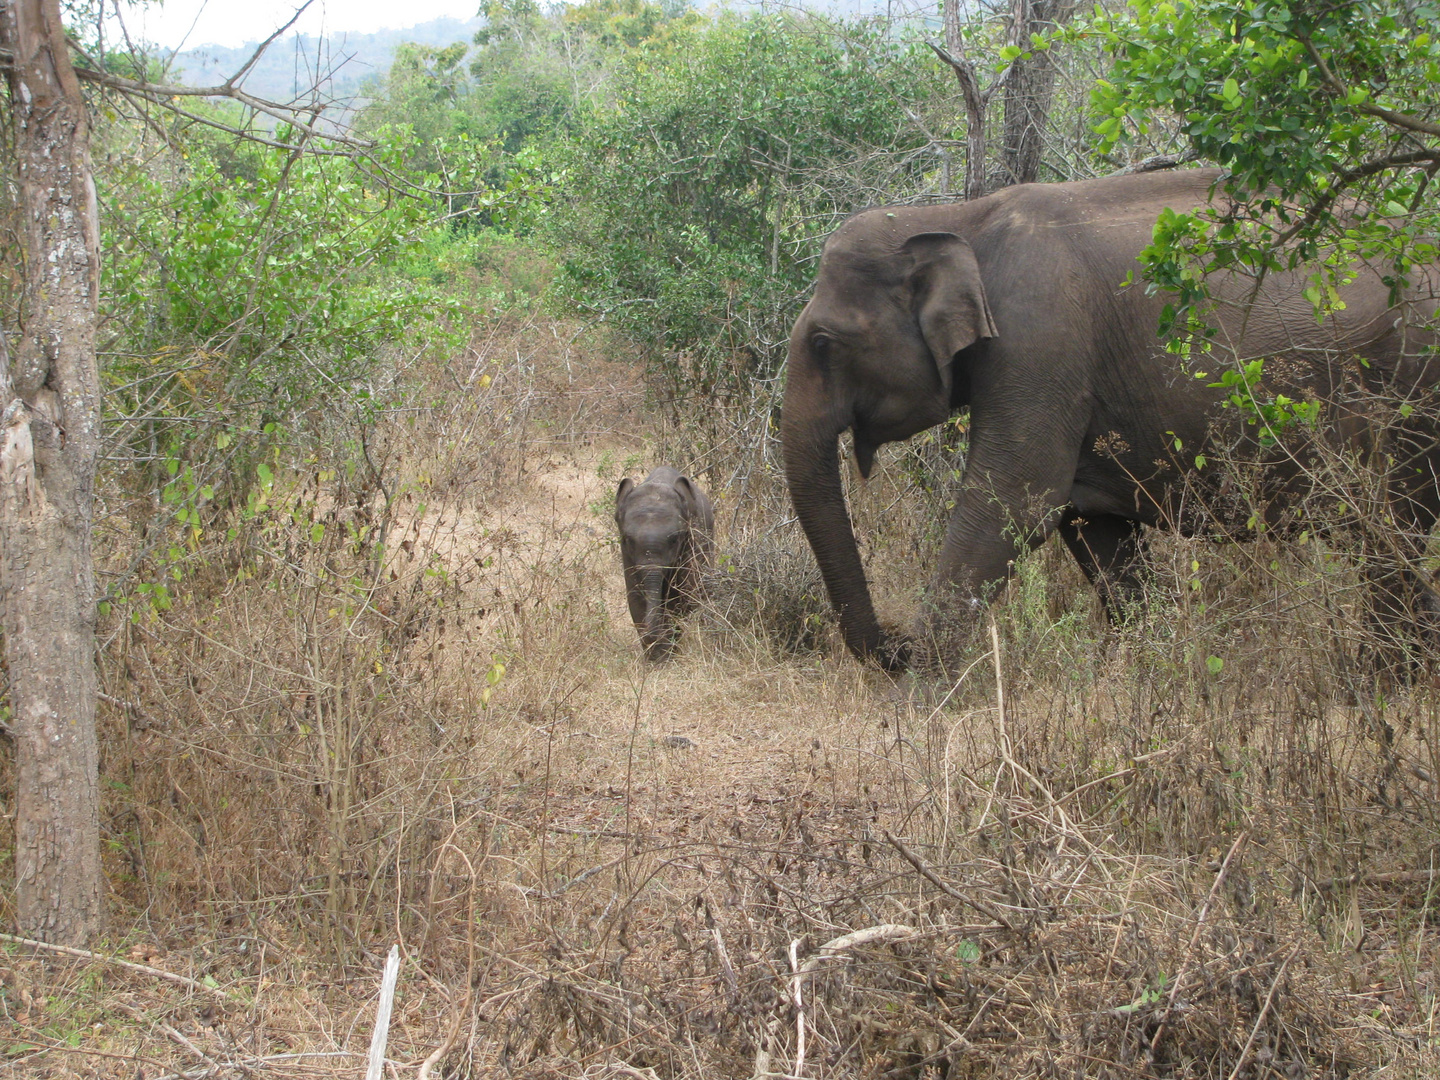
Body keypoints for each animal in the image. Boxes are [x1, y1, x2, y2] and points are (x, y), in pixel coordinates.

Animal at [613, 466, 714, 659]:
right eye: (628, 540)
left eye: (674, 539)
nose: (651, 634)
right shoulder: (627, 556)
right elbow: (636, 598)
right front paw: (658, 659)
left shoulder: (694, 542)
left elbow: (688, 594)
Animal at [789, 168, 1440, 668]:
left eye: (823, 343)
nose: (895, 645)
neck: (959, 218)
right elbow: (1093, 526)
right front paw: (1159, 667)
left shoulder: (1040, 341)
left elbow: (1016, 500)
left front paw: (915, 703)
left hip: (1408, 394)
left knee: (1391, 534)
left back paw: (1380, 681)